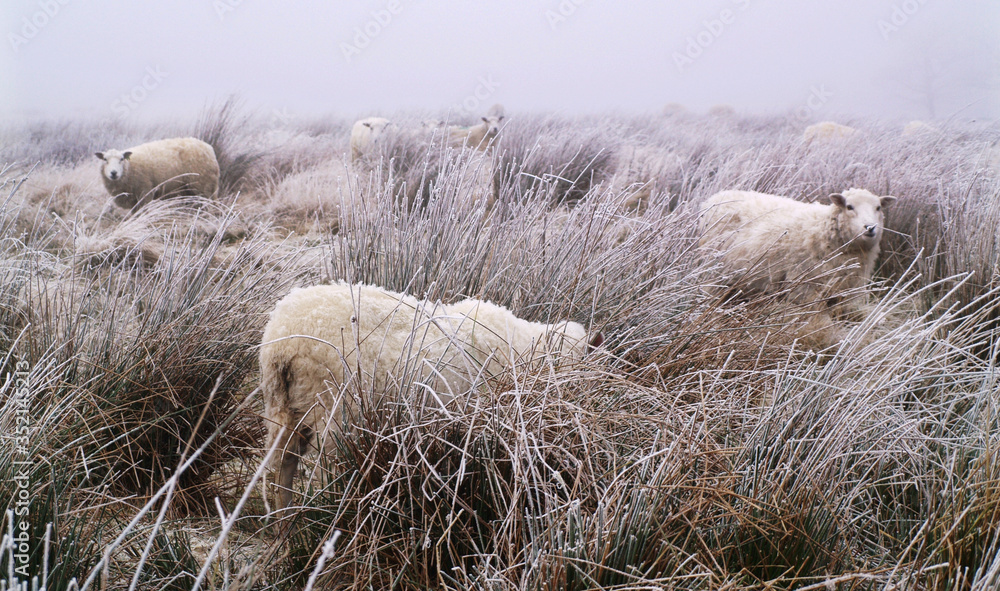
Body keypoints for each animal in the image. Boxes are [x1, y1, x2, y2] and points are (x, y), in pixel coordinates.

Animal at [260, 282, 601, 511]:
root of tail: (281, 340)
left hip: (283, 407)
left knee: (281, 468)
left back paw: (283, 531)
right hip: (337, 412)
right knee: (322, 474)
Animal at [699, 188, 896, 343]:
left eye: (878, 207)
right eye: (849, 207)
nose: (870, 227)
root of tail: (718, 195)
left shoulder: (837, 293)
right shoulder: (806, 290)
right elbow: (820, 322)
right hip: (715, 274)